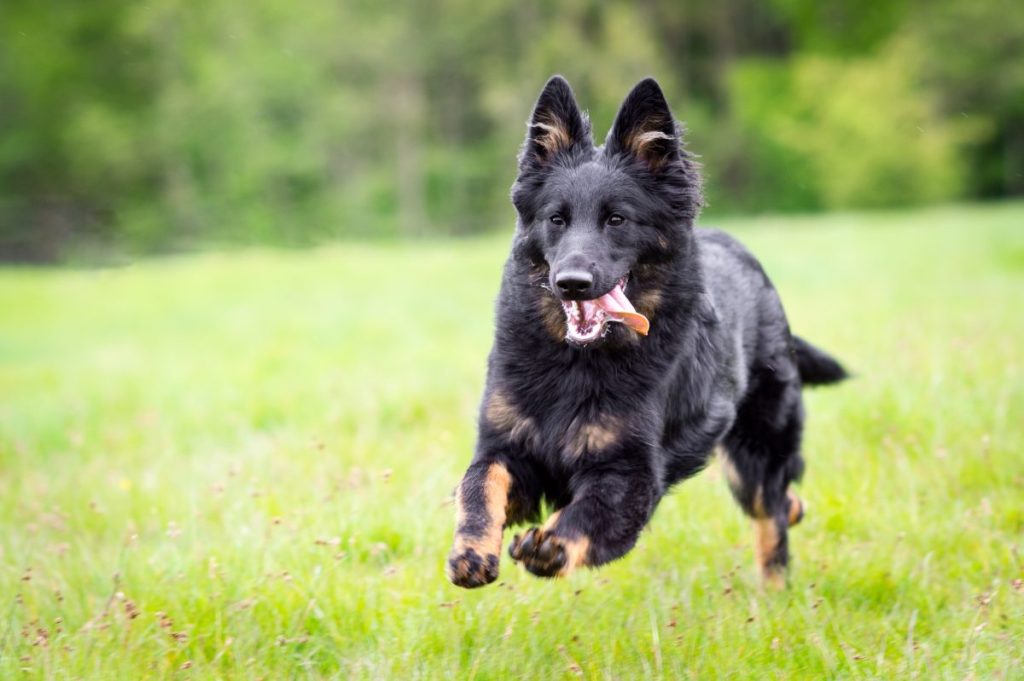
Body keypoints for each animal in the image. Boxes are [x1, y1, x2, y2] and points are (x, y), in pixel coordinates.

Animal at [444, 73, 843, 585]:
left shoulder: (632, 471)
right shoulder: (506, 446)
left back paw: (775, 587)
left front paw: (552, 544)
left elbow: (591, 511)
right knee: (782, 502)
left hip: (753, 453)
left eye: (617, 219)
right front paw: (471, 550)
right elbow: (478, 482)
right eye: (556, 219)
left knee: (771, 512)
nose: (571, 282)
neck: (575, 362)